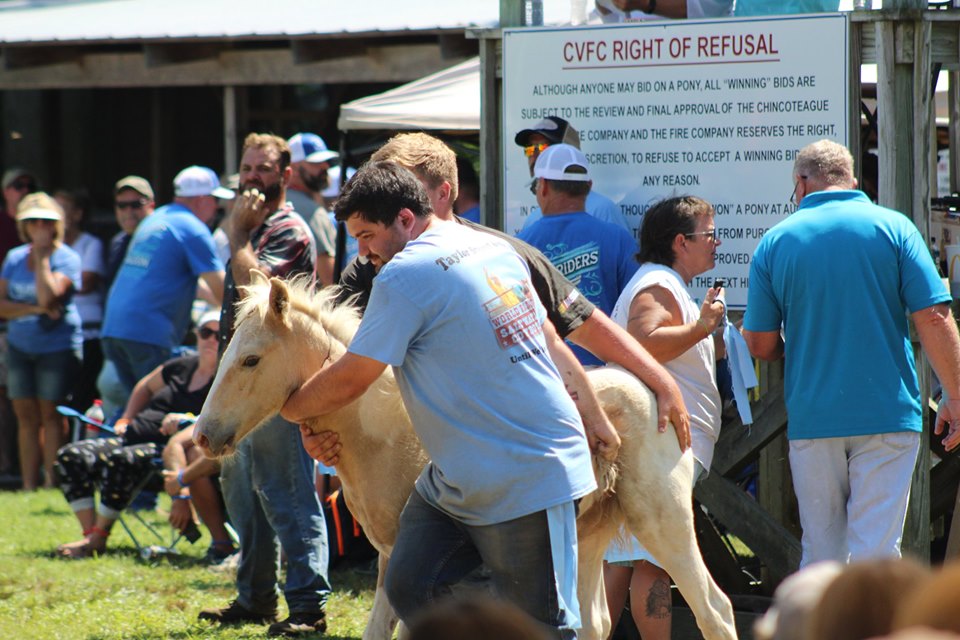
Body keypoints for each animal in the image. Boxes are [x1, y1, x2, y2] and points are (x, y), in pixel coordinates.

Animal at [194, 272, 738, 640]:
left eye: (251, 359)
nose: (202, 434)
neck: (384, 427)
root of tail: (655, 390)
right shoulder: (394, 554)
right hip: (587, 535)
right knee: (596, 622)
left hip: (662, 519)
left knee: (715, 609)